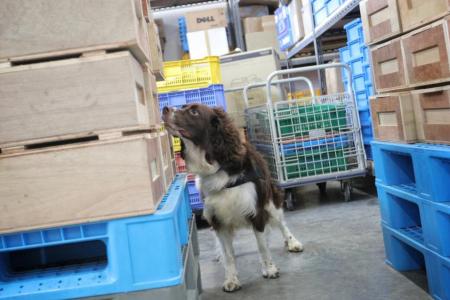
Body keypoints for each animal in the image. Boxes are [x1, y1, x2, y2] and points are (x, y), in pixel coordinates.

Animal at [162, 104, 302, 292]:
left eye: (194, 112)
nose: (164, 109)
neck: (218, 165)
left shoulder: (256, 211)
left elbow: (262, 246)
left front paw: (270, 268)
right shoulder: (217, 218)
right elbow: (229, 254)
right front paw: (231, 279)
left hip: (270, 200)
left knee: (281, 223)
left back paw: (292, 242)